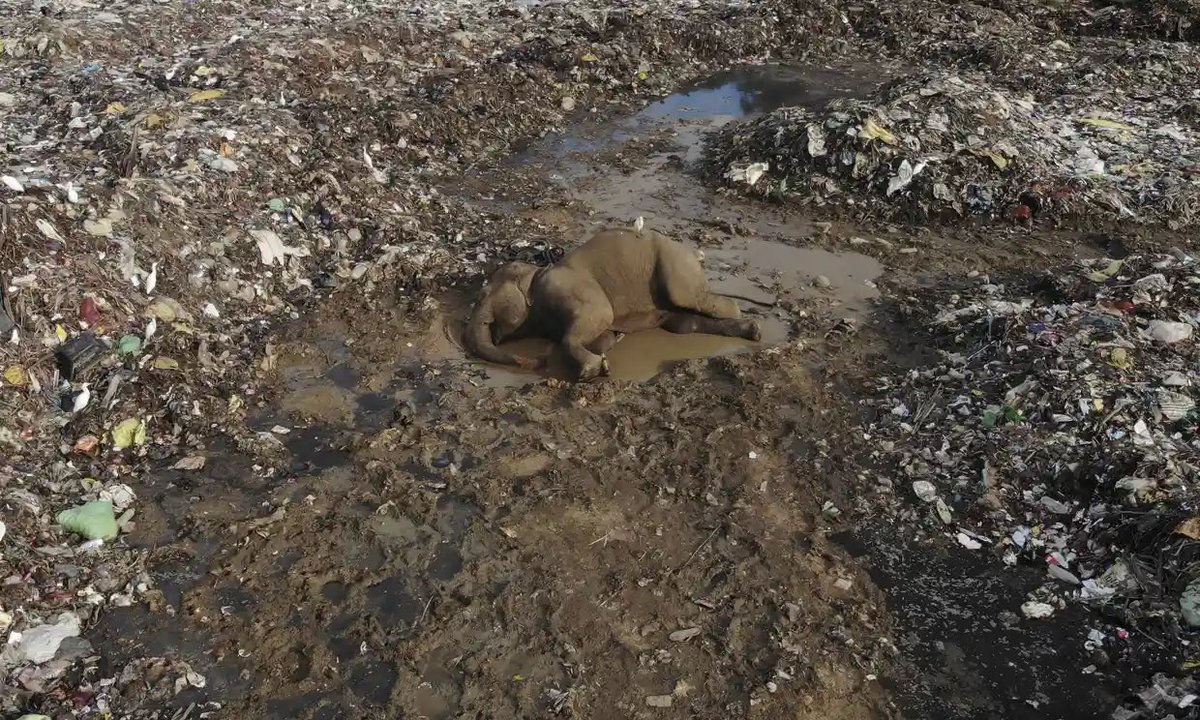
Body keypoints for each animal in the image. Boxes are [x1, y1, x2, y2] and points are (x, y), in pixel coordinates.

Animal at [464, 227, 765, 380]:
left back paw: (748, 321)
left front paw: (592, 371)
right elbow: (600, 333)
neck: (535, 274)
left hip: (676, 265)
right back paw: (751, 330)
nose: (539, 360)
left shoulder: (566, 286)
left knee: (693, 299)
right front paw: (610, 347)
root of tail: (693, 253)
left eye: (482, 294)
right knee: (684, 324)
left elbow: (600, 315)